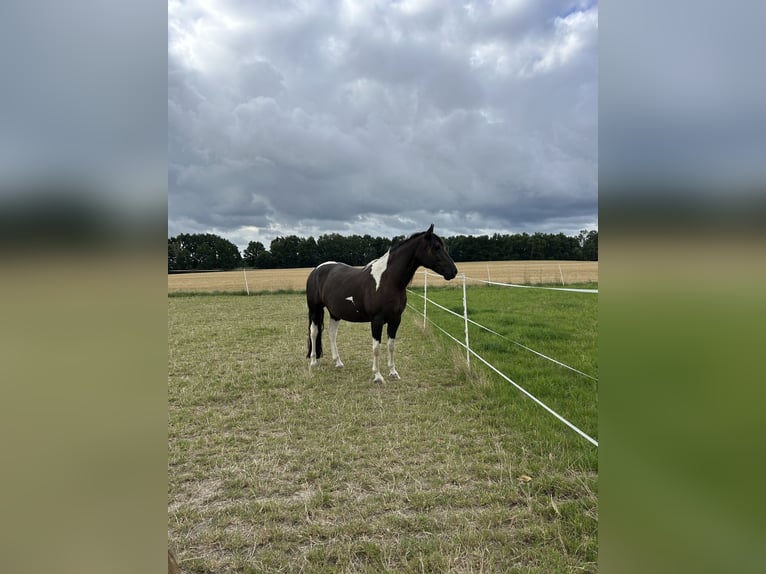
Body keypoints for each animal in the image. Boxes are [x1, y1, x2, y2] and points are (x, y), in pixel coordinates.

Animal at [306, 224, 458, 383]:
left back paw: (338, 362)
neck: (388, 281)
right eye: (436, 247)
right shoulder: (377, 320)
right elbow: (376, 348)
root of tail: (316, 270)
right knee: (314, 332)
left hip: (335, 313)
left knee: (331, 333)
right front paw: (378, 376)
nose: (453, 271)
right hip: (315, 309)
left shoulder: (395, 320)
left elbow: (391, 346)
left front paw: (393, 372)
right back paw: (313, 362)